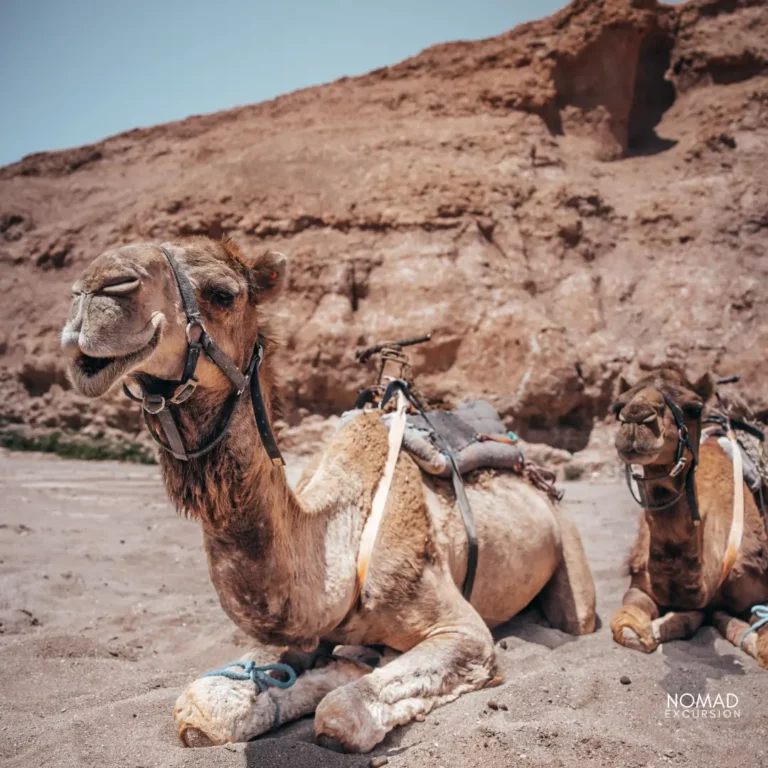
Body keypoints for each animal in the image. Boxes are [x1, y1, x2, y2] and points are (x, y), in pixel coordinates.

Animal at [61, 237, 600, 752]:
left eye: (223, 293)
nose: (95, 290)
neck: (342, 531)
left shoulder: (464, 632)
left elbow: (341, 714)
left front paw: (352, 673)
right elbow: (203, 706)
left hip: (570, 556)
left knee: (576, 617)